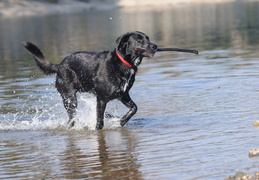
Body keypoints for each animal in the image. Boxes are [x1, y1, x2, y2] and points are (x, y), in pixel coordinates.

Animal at [23, 31, 158, 129]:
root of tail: (59, 65)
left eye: (148, 38)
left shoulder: (123, 95)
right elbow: (99, 121)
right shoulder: (101, 99)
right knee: (71, 119)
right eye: (139, 40)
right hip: (70, 98)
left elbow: (134, 109)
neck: (123, 63)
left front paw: (121, 122)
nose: (155, 46)